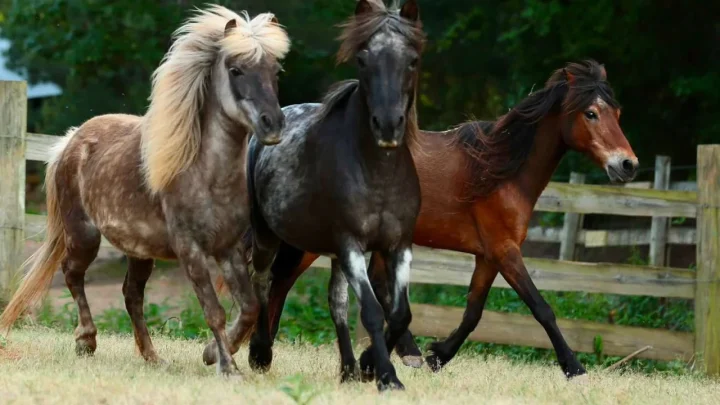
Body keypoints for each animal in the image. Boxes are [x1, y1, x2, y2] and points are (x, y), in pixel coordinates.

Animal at [0, 5, 290, 377]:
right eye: (235, 70)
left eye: (275, 70)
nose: (274, 125)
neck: (208, 177)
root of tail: (71, 140)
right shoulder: (191, 250)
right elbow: (214, 312)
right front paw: (228, 369)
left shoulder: (229, 249)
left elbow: (250, 307)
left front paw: (212, 354)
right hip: (84, 235)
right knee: (73, 273)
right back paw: (86, 341)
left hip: (139, 250)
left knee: (131, 294)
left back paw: (152, 356)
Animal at [217, 60, 638, 379]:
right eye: (591, 113)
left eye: (618, 113)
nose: (627, 164)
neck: (499, 170)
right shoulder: (505, 251)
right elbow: (541, 307)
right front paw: (574, 367)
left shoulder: (488, 256)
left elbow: (472, 313)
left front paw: (438, 355)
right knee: (279, 283)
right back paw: (259, 352)